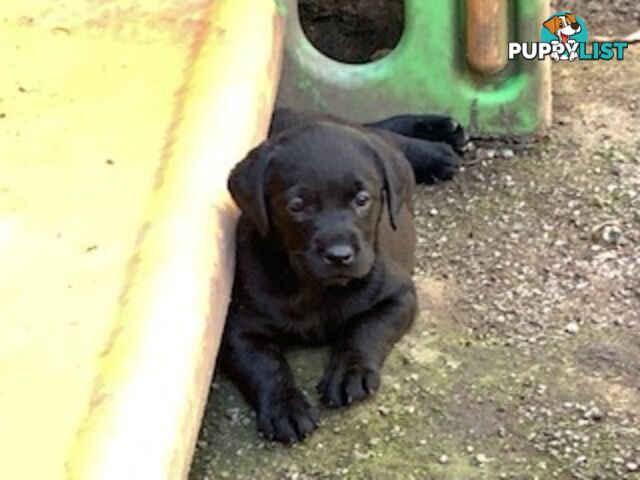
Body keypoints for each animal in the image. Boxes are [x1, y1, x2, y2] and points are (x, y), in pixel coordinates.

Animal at [220, 108, 464, 442]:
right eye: (297, 205)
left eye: (362, 199)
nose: (339, 256)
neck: (312, 286)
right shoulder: (238, 326)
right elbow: (263, 363)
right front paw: (285, 407)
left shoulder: (399, 295)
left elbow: (364, 329)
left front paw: (351, 372)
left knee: (390, 137)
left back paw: (438, 148)